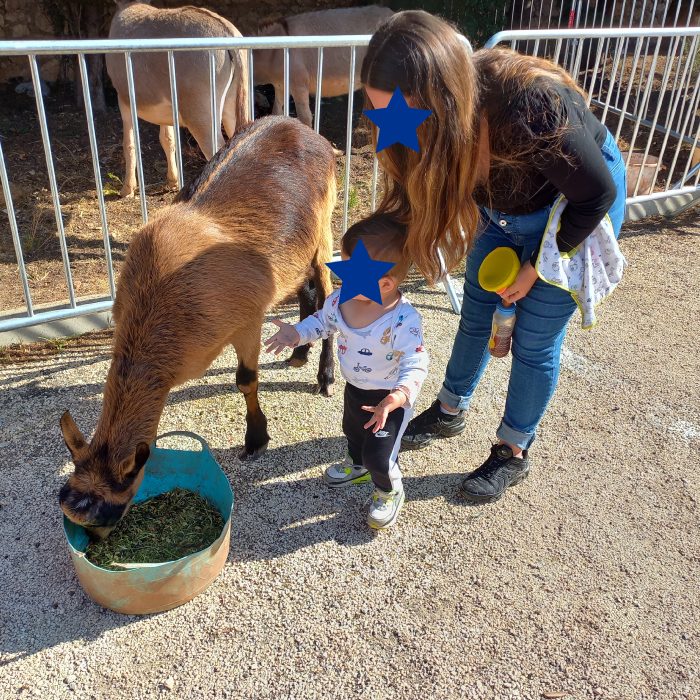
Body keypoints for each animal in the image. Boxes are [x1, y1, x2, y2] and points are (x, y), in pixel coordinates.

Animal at [58, 117, 338, 540]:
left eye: (107, 513)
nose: (92, 545)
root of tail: (298, 125)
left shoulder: (246, 320)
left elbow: (245, 381)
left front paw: (256, 439)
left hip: (324, 228)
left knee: (328, 290)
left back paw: (326, 374)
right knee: (306, 290)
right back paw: (298, 354)